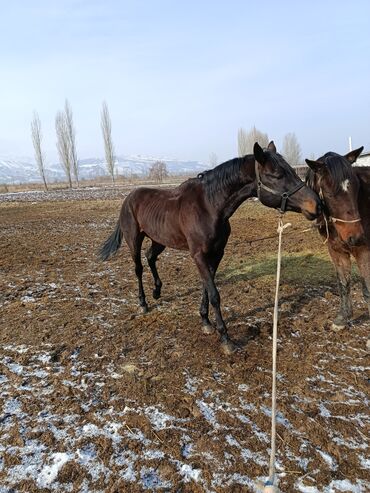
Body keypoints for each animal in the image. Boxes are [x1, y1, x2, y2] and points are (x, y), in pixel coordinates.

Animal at [99, 140, 320, 352]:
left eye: (292, 170)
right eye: (276, 175)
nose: (316, 205)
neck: (209, 207)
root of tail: (129, 198)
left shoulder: (216, 253)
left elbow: (207, 285)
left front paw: (205, 321)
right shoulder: (198, 255)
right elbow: (214, 294)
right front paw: (225, 338)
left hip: (159, 239)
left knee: (151, 257)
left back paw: (157, 291)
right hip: (133, 240)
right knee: (138, 268)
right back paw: (143, 303)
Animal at [306, 147, 370, 330]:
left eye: (357, 187)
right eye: (329, 193)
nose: (355, 236)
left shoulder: (363, 250)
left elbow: (367, 287)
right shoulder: (336, 251)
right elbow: (343, 283)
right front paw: (343, 317)